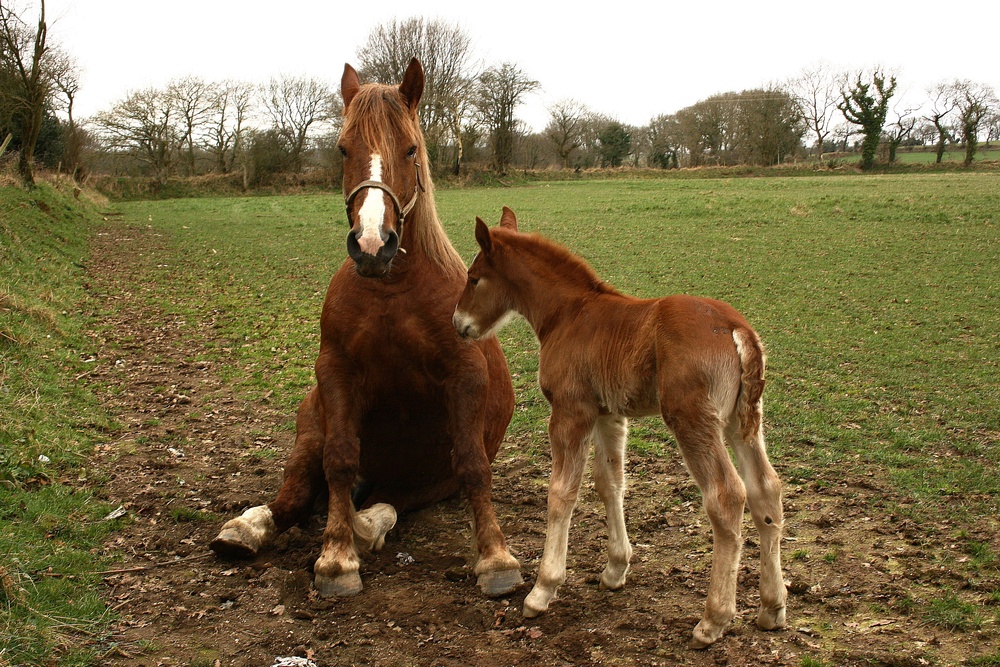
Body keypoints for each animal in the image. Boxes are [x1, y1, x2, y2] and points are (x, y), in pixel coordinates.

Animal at [211, 58, 524, 600]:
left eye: (411, 149)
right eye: (343, 149)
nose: (373, 245)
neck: (391, 287)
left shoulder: (464, 378)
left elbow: (473, 466)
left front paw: (495, 557)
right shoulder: (336, 371)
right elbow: (339, 460)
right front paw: (336, 559)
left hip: (424, 476)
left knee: (389, 501)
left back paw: (366, 525)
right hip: (312, 424)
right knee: (297, 494)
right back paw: (250, 527)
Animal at [456, 209, 788, 648]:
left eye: (474, 277)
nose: (458, 323)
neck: (568, 313)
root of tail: (737, 328)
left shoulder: (570, 410)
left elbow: (562, 492)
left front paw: (543, 589)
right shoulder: (608, 414)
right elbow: (609, 481)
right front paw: (615, 569)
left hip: (693, 419)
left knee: (727, 496)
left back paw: (713, 619)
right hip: (741, 421)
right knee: (766, 489)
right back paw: (772, 608)